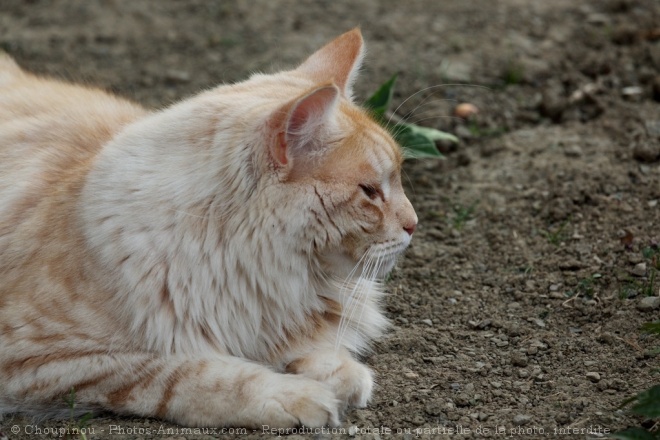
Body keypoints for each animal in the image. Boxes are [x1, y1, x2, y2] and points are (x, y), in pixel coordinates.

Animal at [0, 29, 416, 428]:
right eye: (370, 191)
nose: (414, 224)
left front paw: (336, 371)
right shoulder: (39, 357)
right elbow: (185, 373)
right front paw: (292, 395)